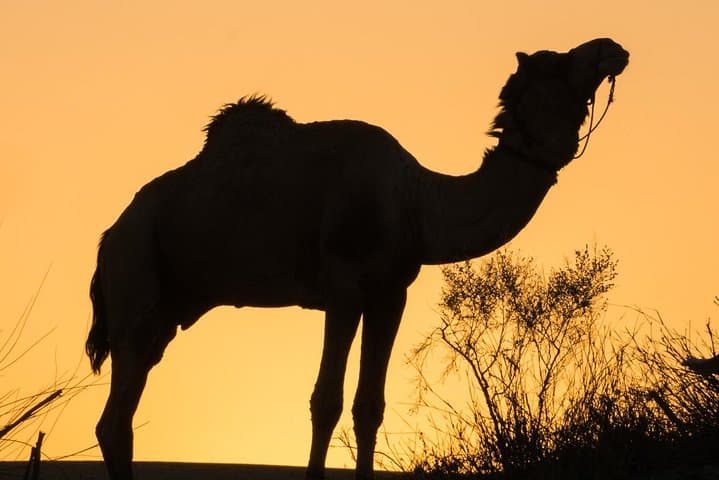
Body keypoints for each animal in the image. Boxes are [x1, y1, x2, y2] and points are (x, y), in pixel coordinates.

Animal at [86, 38, 629, 480]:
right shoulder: (344, 289)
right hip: (136, 276)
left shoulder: (390, 293)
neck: (415, 202)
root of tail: (108, 237)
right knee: (116, 419)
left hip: (165, 306)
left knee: (123, 412)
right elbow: (325, 400)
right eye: (558, 62)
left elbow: (370, 406)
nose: (612, 48)